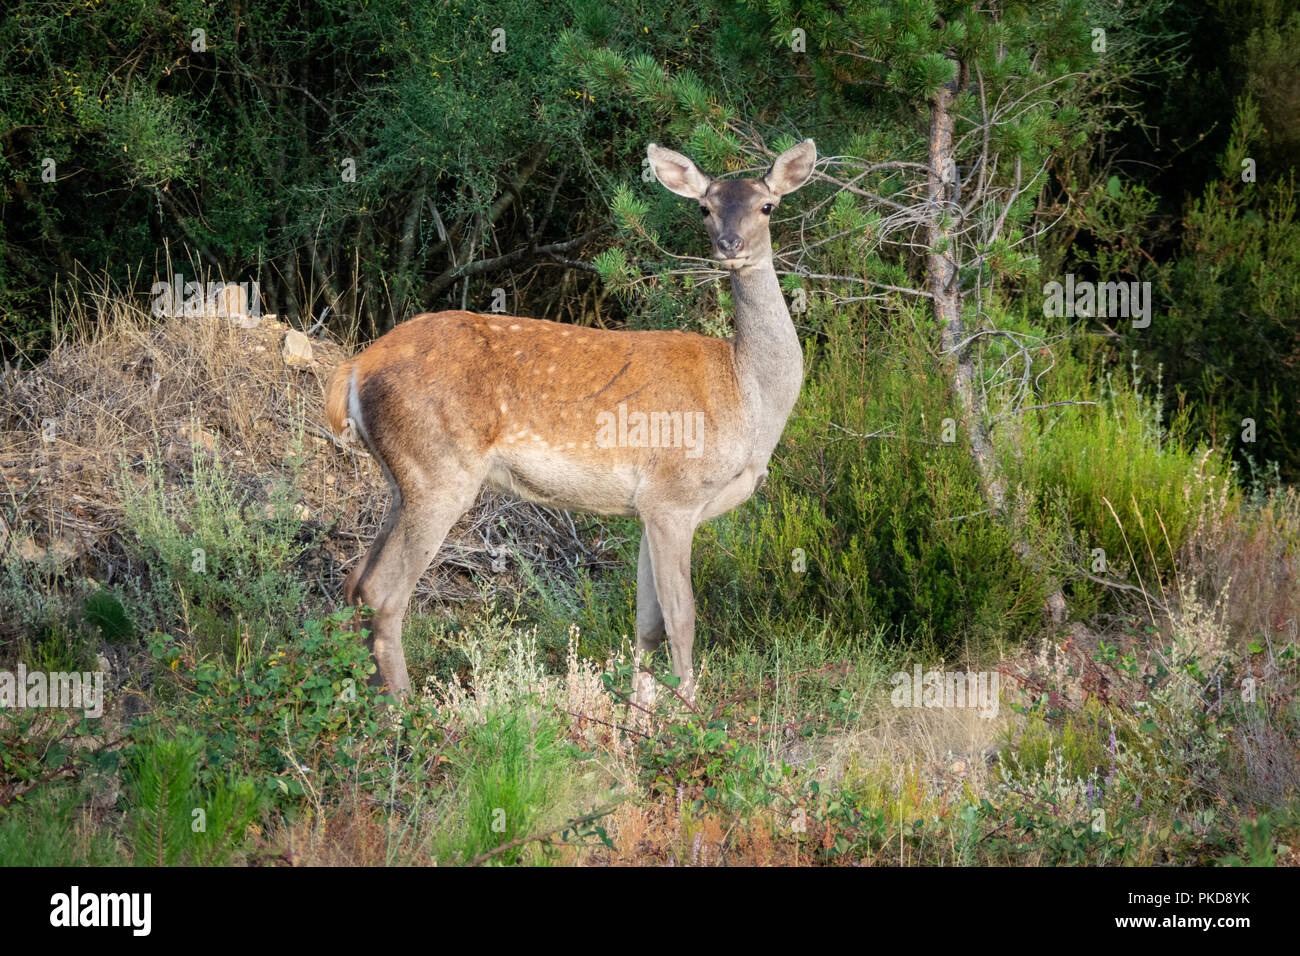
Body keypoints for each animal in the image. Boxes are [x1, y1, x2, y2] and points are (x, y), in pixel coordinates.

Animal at [325, 138, 811, 707]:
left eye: (767, 205)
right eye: (704, 208)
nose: (731, 244)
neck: (746, 396)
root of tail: (354, 369)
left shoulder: (646, 507)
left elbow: (647, 623)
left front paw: (639, 715)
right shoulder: (674, 493)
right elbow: (682, 618)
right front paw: (689, 714)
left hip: (403, 478)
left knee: (354, 582)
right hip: (438, 470)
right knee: (382, 592)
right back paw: (405, 711)